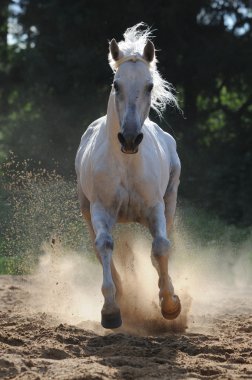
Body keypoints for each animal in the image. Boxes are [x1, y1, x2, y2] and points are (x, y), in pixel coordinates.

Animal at [75, 23, 181, 328]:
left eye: (149, 85)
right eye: (116, 85)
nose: (130, 138)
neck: (126, 163)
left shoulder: (155, 207)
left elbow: (161, 247)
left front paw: (170, 304)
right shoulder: (100, 209)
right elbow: (104, 245)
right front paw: (110, 310)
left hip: (170, 200)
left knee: (161, 247)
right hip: (86, 209)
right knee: (100, 247)